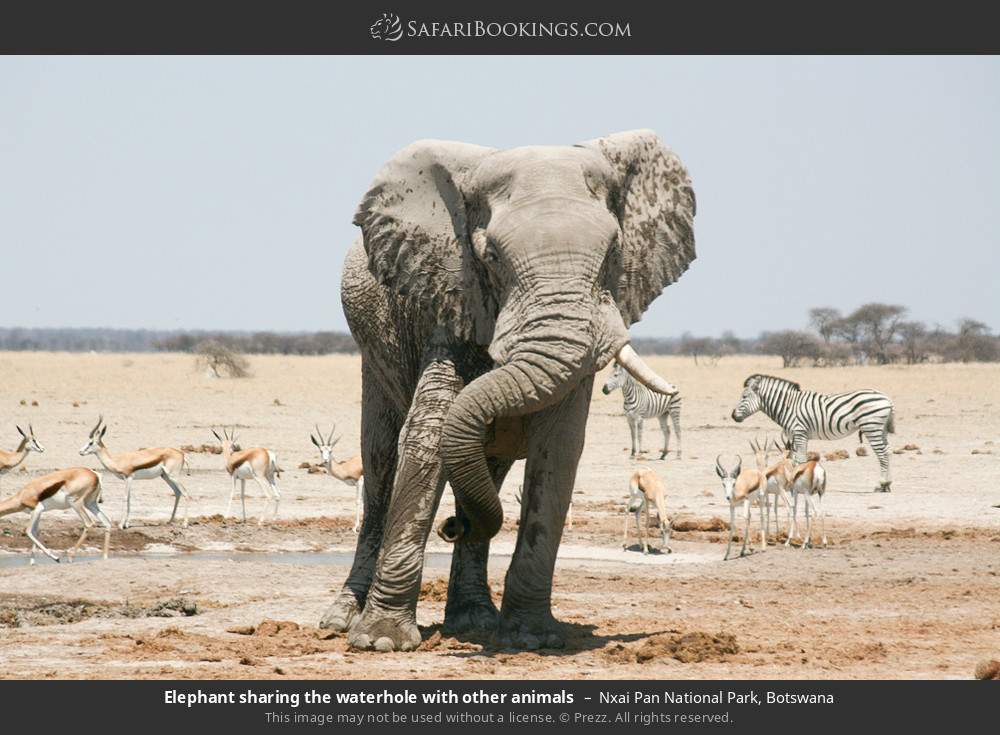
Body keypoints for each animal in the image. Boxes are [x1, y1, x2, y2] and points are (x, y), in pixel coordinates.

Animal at [321, 129, 696, 652]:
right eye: (492, 257)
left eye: (613, 253)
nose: (451, 529)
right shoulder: (451, 297)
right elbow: (427, 436)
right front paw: (380, 642)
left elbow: (558, 450)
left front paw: (534, 637)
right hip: (373, 353)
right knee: (379, 466)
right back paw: (341, 621)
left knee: (488, 471)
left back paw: (474, 621)